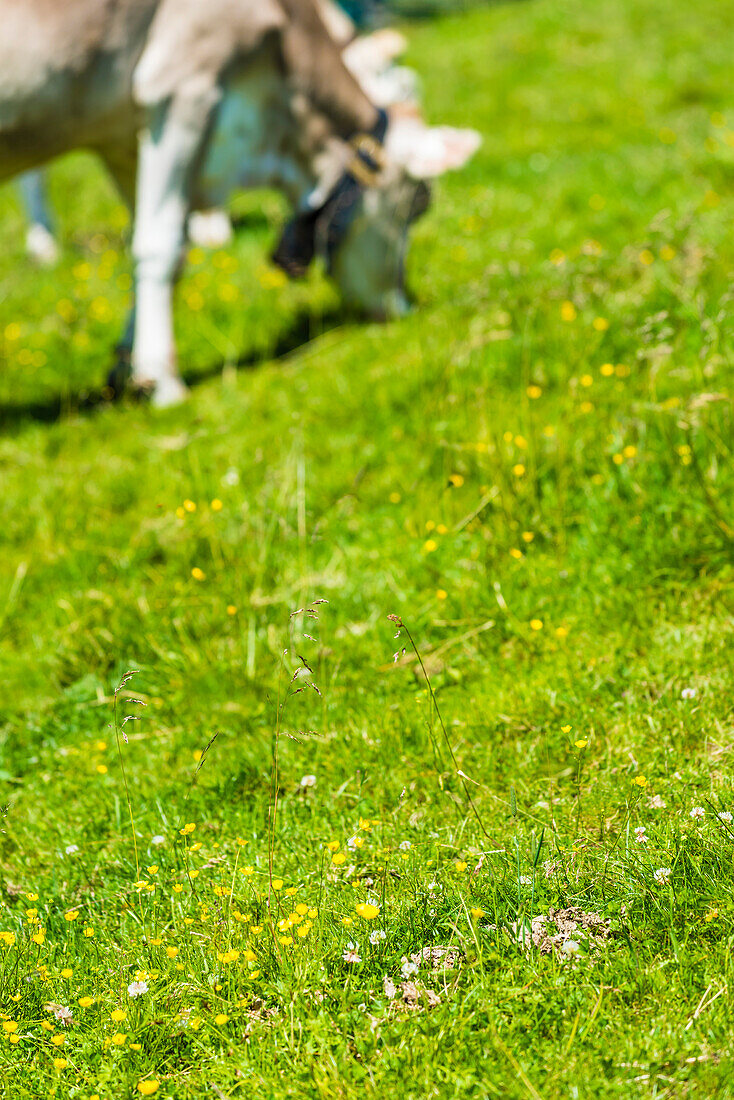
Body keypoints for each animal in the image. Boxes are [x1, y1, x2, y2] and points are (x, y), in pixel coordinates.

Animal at [0, 0, 479, 407]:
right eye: (418, 204)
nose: (403, 306)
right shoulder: (182, 88)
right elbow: (162, 246)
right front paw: (163, 380)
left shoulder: (119, 134)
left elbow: (154, 240)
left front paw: (126, 367)